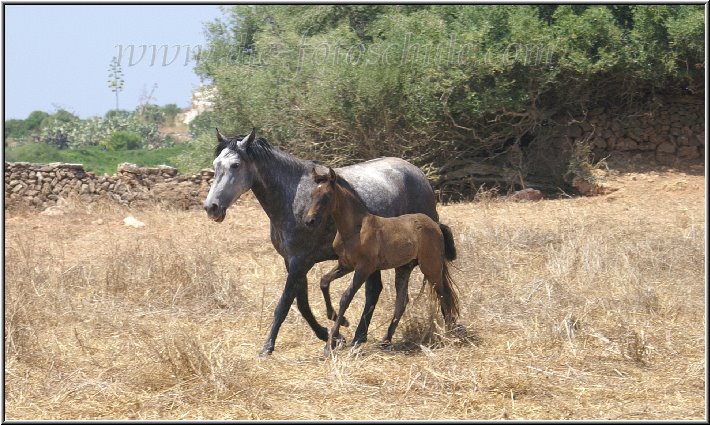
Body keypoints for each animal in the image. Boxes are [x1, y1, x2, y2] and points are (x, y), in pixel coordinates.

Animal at [203, 129, 444, 354]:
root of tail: (419, 174)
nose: (211, 207)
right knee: (374, 291)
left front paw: (268, 346)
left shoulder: (300, 261)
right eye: (215, 165)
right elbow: (302, 304)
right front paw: (332, 334)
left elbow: (284, 303)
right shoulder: (292, 261)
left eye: (235, 165)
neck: (293, 198)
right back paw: (359, 337)